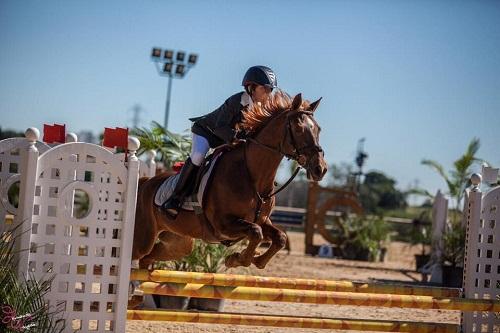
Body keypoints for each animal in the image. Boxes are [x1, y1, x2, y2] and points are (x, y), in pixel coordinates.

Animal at [133, 91, 328, 270]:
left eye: (318, 129)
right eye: (298, 129)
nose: (320, 169)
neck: (252, 177)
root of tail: (145, 182)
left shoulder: (262, 220)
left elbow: (280, 238)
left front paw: (254, 260)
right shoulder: (223, 224)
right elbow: (256, 233)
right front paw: (238, 259)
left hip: (178, 243)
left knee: (148, 258)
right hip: (143, 239)